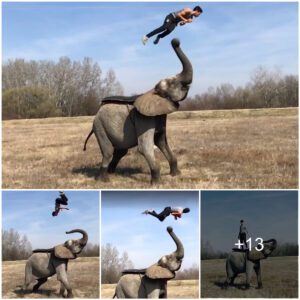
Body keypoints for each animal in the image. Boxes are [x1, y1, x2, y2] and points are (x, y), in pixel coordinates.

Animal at [83, 37, 193, 183]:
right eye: (172, 83)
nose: (175, 41)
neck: (153, 91)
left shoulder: (160, 115)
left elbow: (161, 141)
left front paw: (176, 175)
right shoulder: (143, 118)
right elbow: (145, 147)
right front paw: (157, 183)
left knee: (120, 151)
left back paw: (111, 173)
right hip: (99, 125)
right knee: (108, 152)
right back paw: (104, 180)